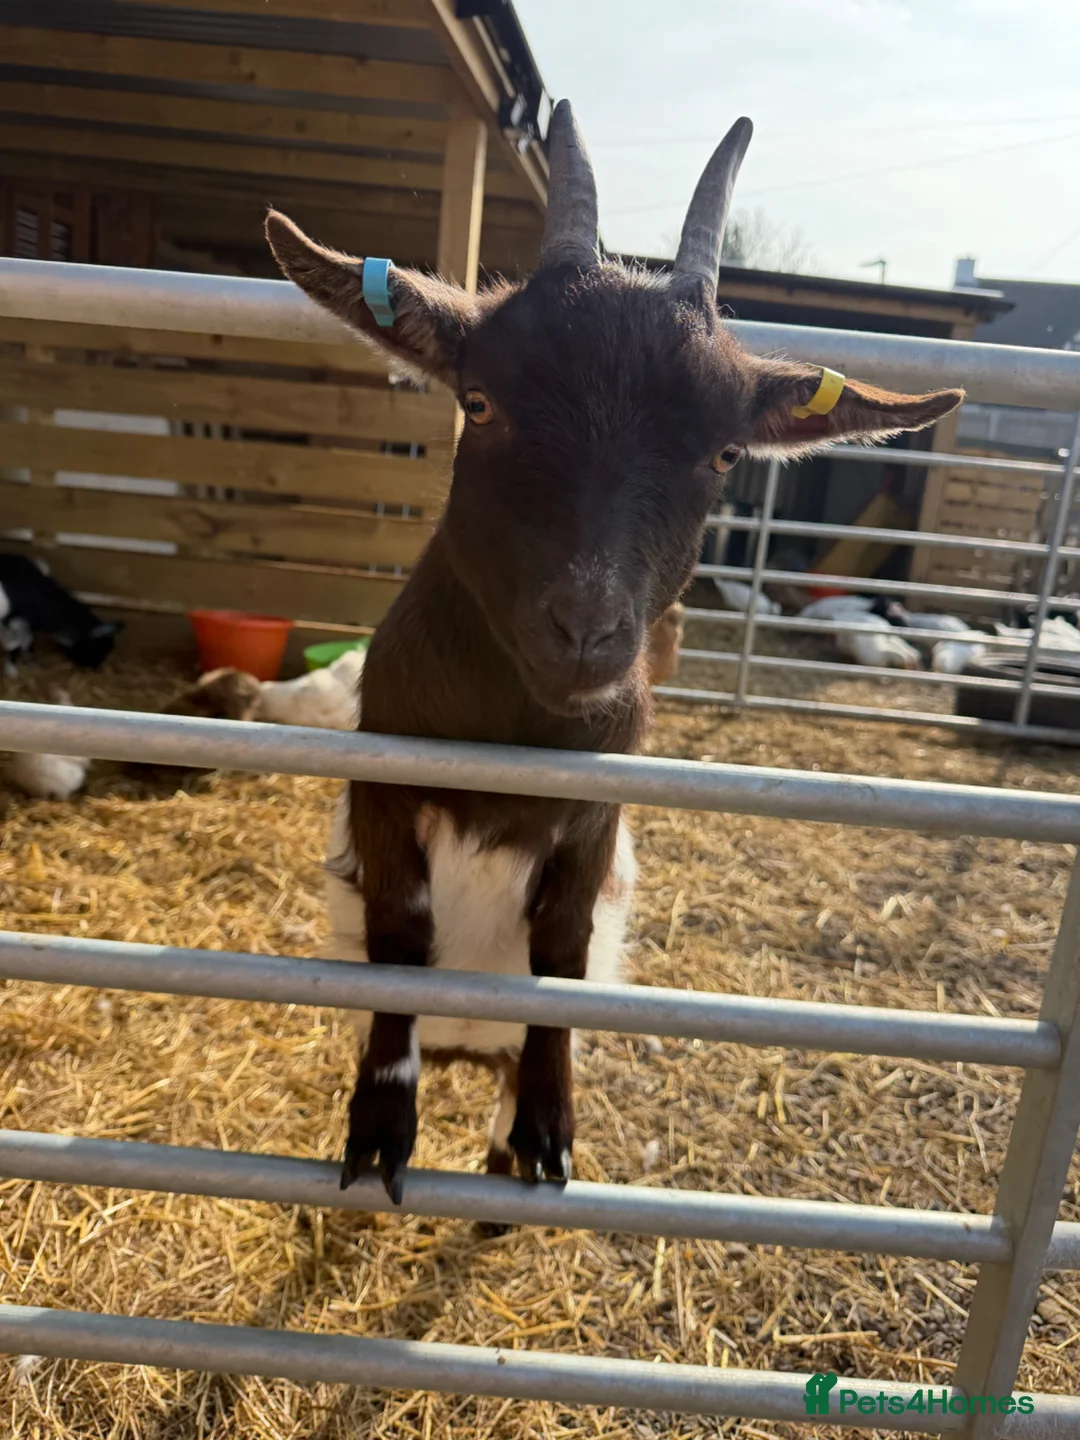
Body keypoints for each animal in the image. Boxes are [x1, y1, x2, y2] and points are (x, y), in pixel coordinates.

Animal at [266, 100, 964, 1203]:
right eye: (479, 402)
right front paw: (380, 1127)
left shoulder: (595, 816)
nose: (586, 632)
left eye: (726, 451)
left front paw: (549, 1137)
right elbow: (401, 936)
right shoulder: (384, 785)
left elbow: (561, 959)